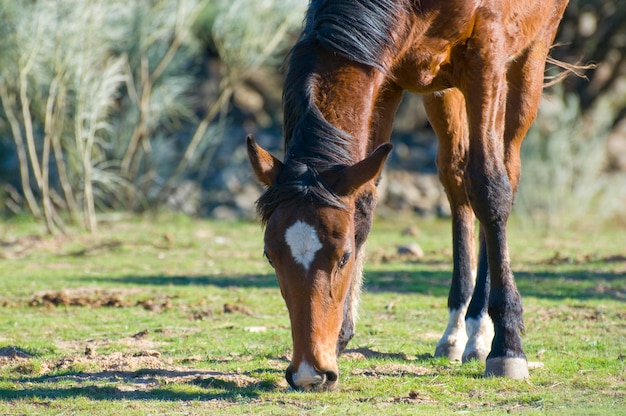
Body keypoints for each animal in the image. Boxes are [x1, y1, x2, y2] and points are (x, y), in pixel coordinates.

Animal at [246, 0, 568, 390]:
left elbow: (490, 189)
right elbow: (364, 204)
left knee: (504, 170)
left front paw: (508, 346)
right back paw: (456, 331)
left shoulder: (487, 58)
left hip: (527, 60)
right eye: (270, 256)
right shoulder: (387, 79)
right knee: (456, 176)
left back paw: (482, 332)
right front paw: (340, 337)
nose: (309, 373)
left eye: (343, 257)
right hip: (442, 92)